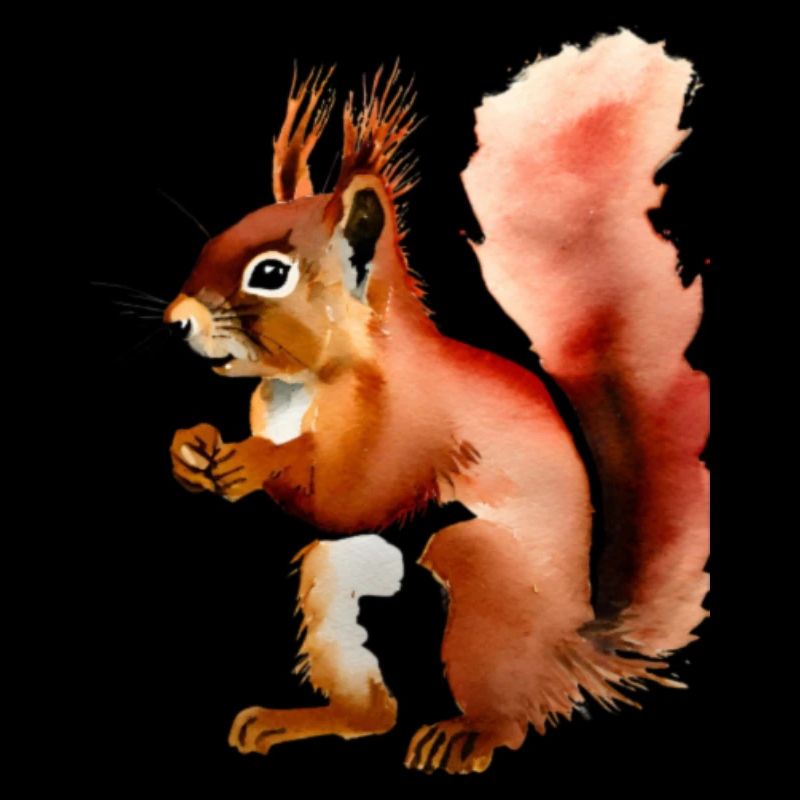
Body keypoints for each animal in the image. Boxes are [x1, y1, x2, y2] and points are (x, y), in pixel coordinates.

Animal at [163, 31, 709, 775]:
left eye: (270, 273)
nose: (176, 320)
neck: (305, 384)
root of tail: (574, 652)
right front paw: (190, 449)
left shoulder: (410, 422)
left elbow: (349, 495)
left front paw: (254, 462)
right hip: (338, 575)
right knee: (375, 707)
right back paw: (304, 719)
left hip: (482, 581)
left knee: (510, 712)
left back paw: (466, 735)